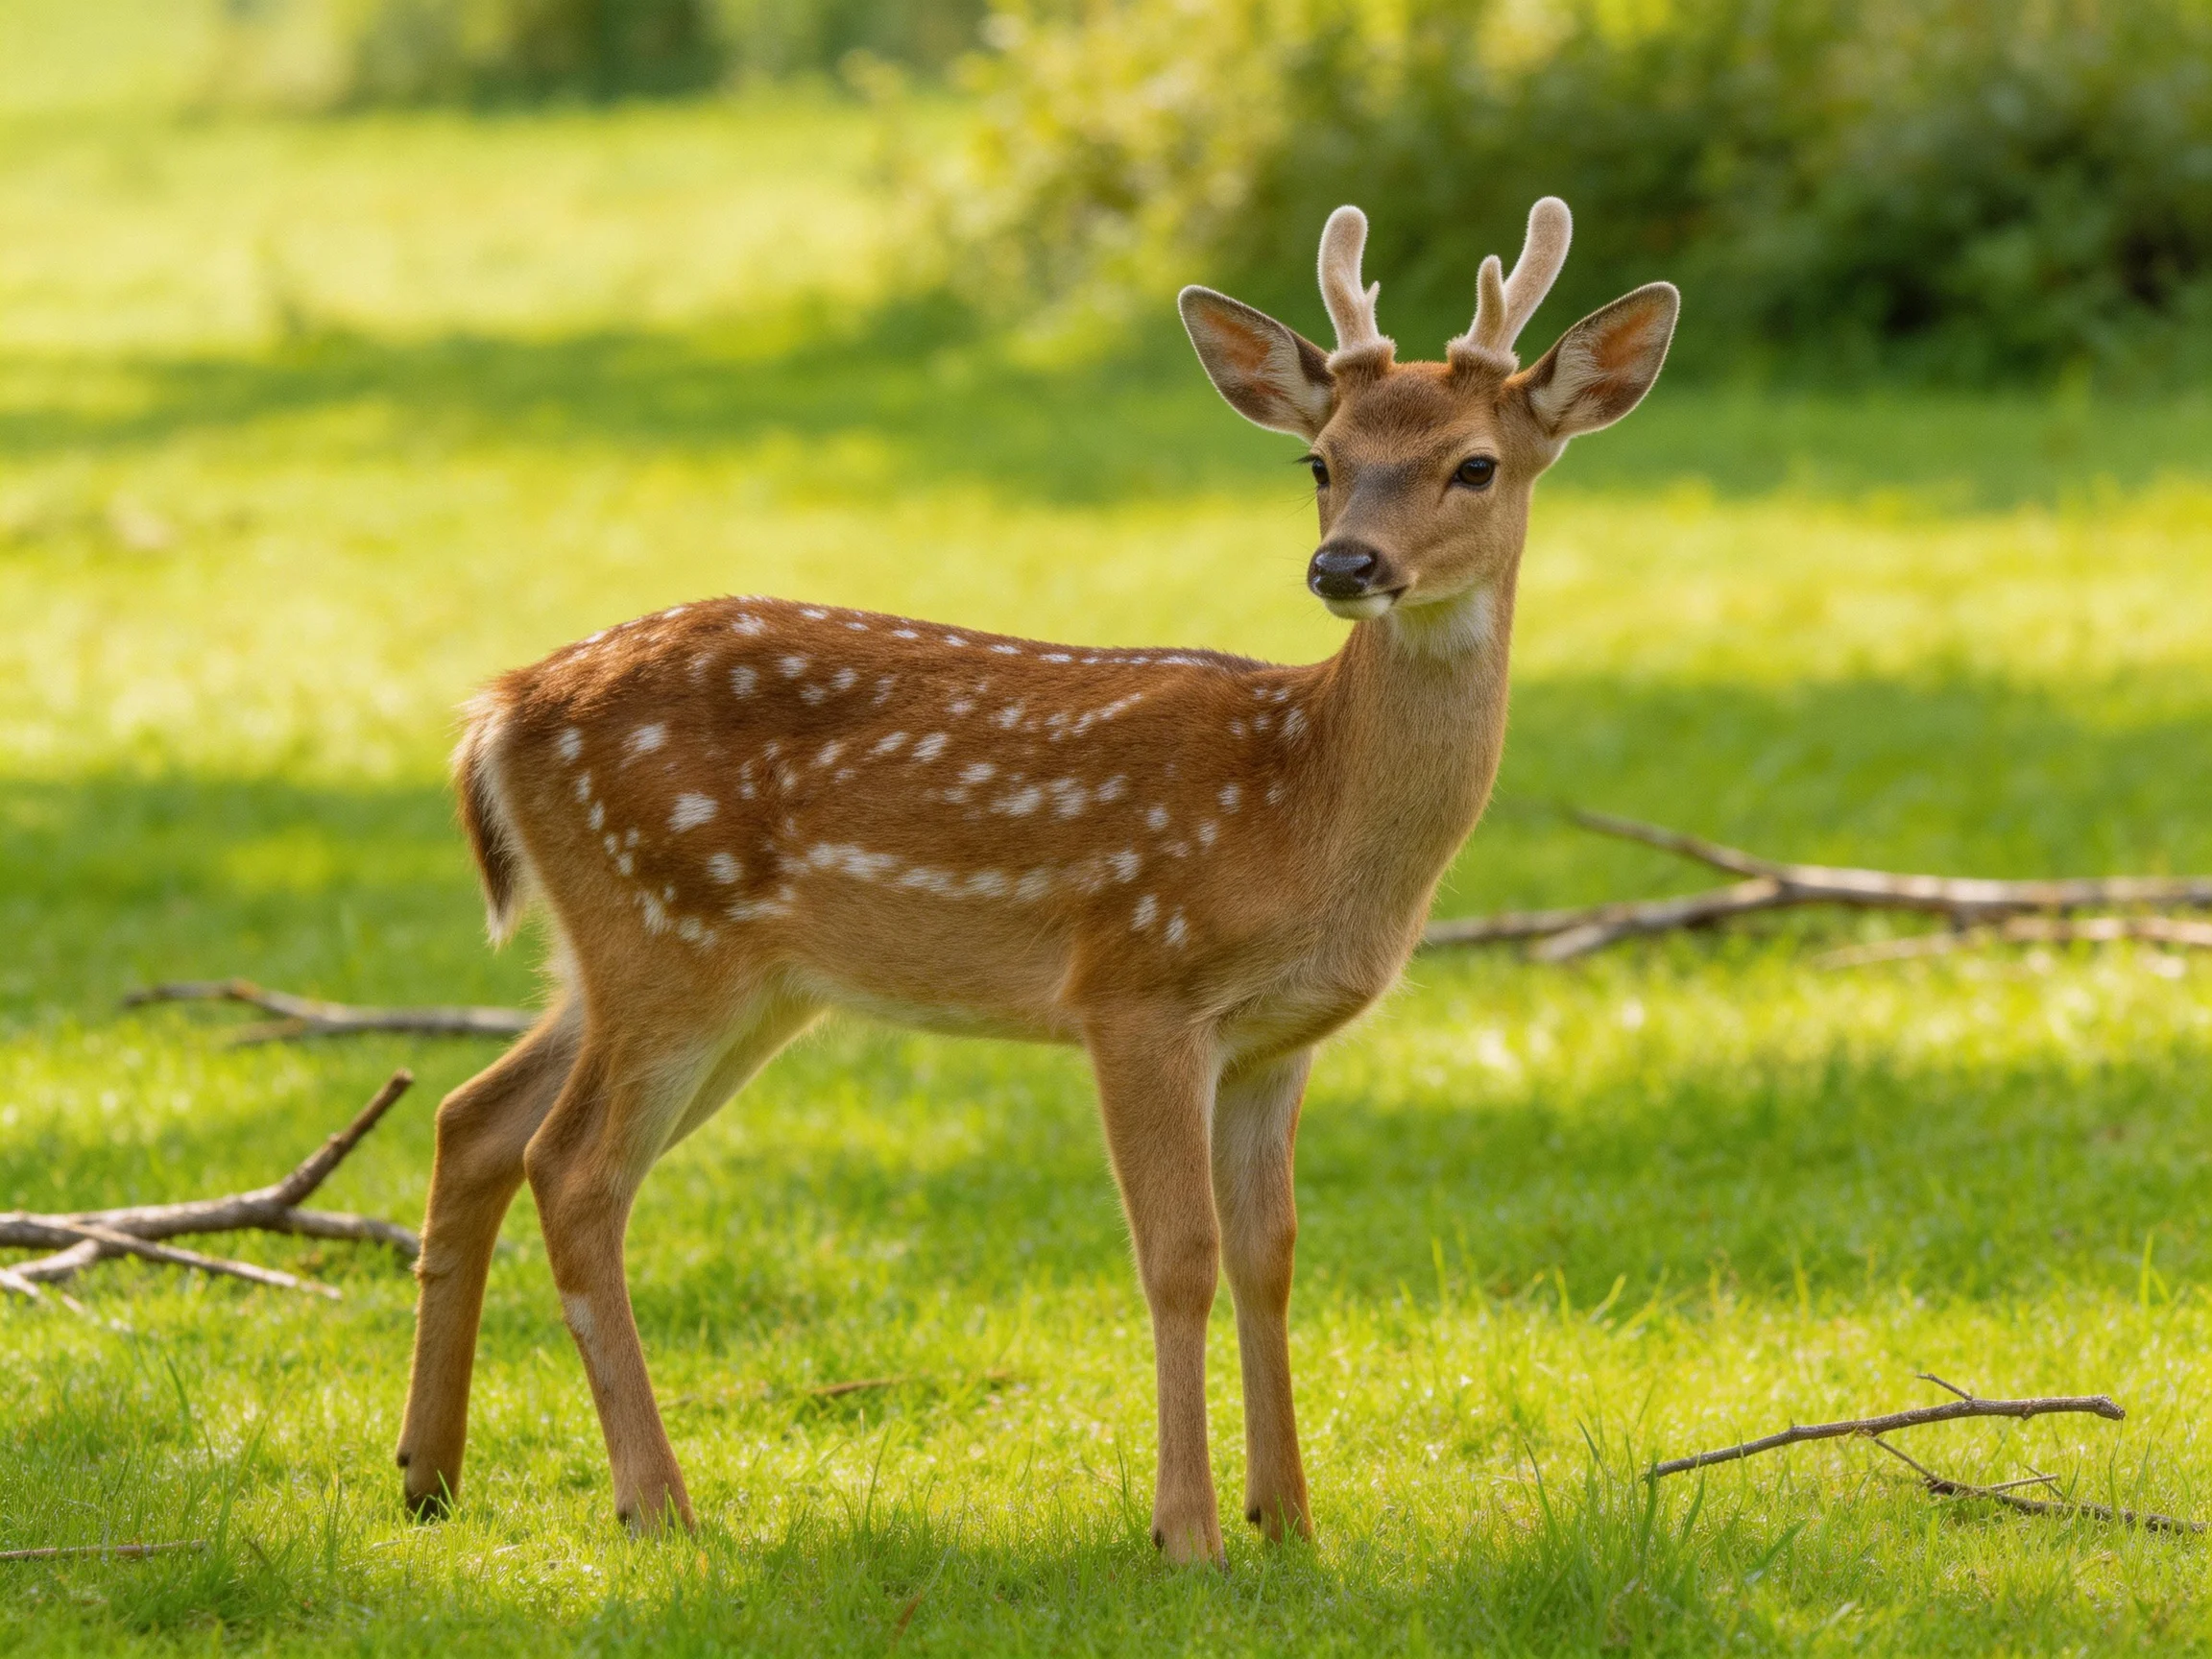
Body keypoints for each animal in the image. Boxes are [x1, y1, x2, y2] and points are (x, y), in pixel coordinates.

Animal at [393, 196, 1677, 1564]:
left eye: (1475, 464)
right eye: (1320, 460)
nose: (1346, 567)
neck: (1305, 811)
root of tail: (497, 711)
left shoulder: (1278, 1041)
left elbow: (1271, 1256)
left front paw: (1291, 1523)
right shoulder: (1136, 985)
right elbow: (1179, 1256)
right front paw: (1188, 1534)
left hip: (676, 969)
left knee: (474, 1117)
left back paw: (429, 1474)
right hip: (667, 937)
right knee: (576, 1172)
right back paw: (657, 1500)